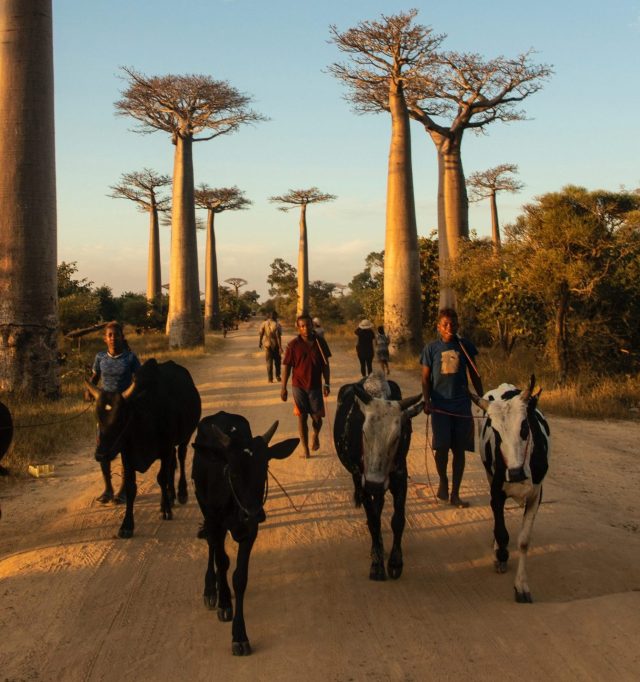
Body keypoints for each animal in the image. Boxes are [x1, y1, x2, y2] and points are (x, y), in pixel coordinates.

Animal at [85, 356, 199, 536]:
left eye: (120, 419)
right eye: (98, 418)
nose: (100, 455)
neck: (143, 416)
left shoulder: (165, 449)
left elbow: (161, 478)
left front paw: (165, 510)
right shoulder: (128, 455)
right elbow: (131, 487)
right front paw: (126, 525)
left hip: (184, 438)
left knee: (180, 458)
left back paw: (181, 494)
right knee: (173, 465)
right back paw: (171, 495)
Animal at [191, 410, 298, 652]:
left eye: (264, 468)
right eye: (233, 472)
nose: (254, 513)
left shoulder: (251, 531)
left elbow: (240, 578)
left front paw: (239, 635)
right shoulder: (216, 521)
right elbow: (222, 561)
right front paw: (223, 602)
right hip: (206, 511)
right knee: (212, 546)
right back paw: (211, 589)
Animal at [332, 372, 422, 580]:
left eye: (397, 437)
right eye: (364, 432)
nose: (375, 484)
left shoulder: (400, 476)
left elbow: (398, 520)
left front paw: (395, 562)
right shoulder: (363, 479)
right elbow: (373, 521)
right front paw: (377, 564)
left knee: (379, 505)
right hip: (358, 478)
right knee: (373, 512)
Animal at [470, 374, 552, 604]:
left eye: (524, 427)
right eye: (496, 433)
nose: (514, 473)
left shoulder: (536, 495)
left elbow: (523, 541)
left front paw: (521, 586)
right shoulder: (496, 493)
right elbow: (502, 532)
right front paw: (501, 555)